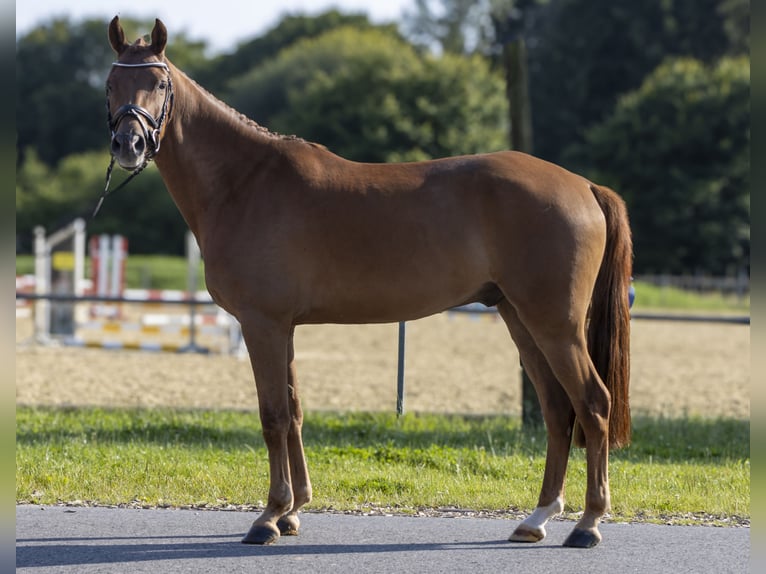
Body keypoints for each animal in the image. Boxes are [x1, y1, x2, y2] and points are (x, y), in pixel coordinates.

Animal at [108, 16, 636, 548]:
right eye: (111, 84)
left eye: (158, 84)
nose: (129, 145)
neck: (244, 182)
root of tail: (583, 186)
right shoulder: (284, 328)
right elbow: (294, 412)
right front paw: (293, 511)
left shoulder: (263, 324)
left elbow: (273, 415)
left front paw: (270, 515)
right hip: (519, 318)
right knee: (557, 410)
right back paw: (538, 517)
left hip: (555, 325)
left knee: (592, 403)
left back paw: (588, 523)